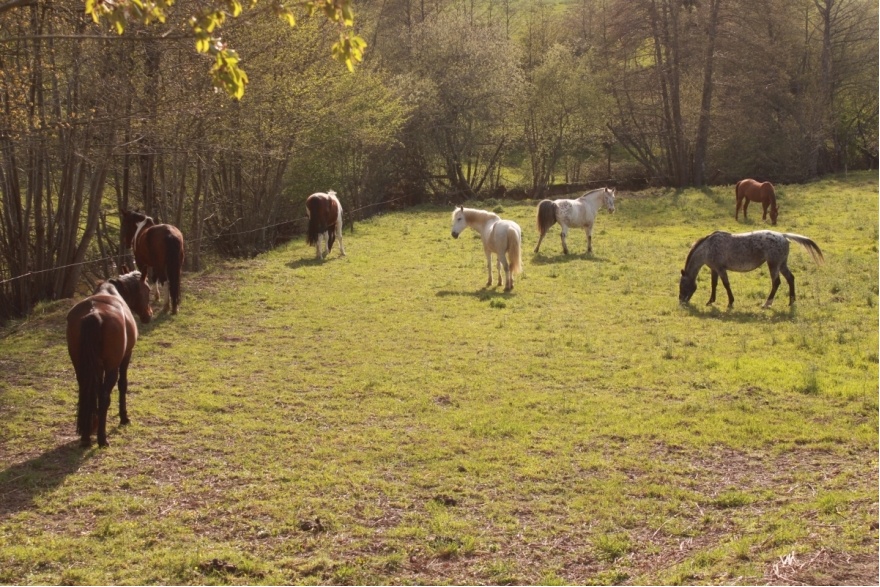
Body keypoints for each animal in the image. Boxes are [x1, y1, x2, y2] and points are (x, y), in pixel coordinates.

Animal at [66, 272, 152, 450]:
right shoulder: (126, 356)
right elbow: (123, 385)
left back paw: (86, 436)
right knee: (105, 396)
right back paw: (102, 438)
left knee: (87, 392)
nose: (149, 314)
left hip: (81, 368)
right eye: (148, 289)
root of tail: (93, 313)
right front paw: (124, 417)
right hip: (112, 367)